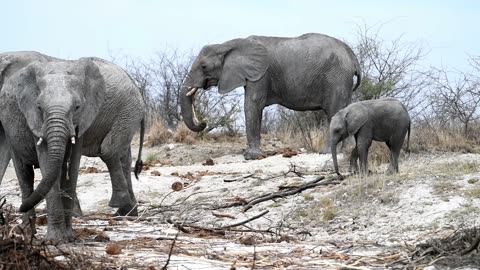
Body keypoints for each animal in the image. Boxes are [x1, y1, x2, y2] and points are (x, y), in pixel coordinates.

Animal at [0, 53, 145, 240]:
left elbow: (73, 165)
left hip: (126, 111)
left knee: (109, 151)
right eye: (39, 107)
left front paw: (65, 237)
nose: (17, 208)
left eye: (77, 107)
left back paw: (121, 207)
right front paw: (58, 239)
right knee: (25, 176)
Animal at [180, 32, 360, 159]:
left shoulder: (261, 75)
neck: (228, 44)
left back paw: (328, 152)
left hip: (336, 78)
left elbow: (252, 105)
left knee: (334, 113)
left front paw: (251, 157)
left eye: (204, 67)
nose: (203, 122)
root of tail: (352, 56)